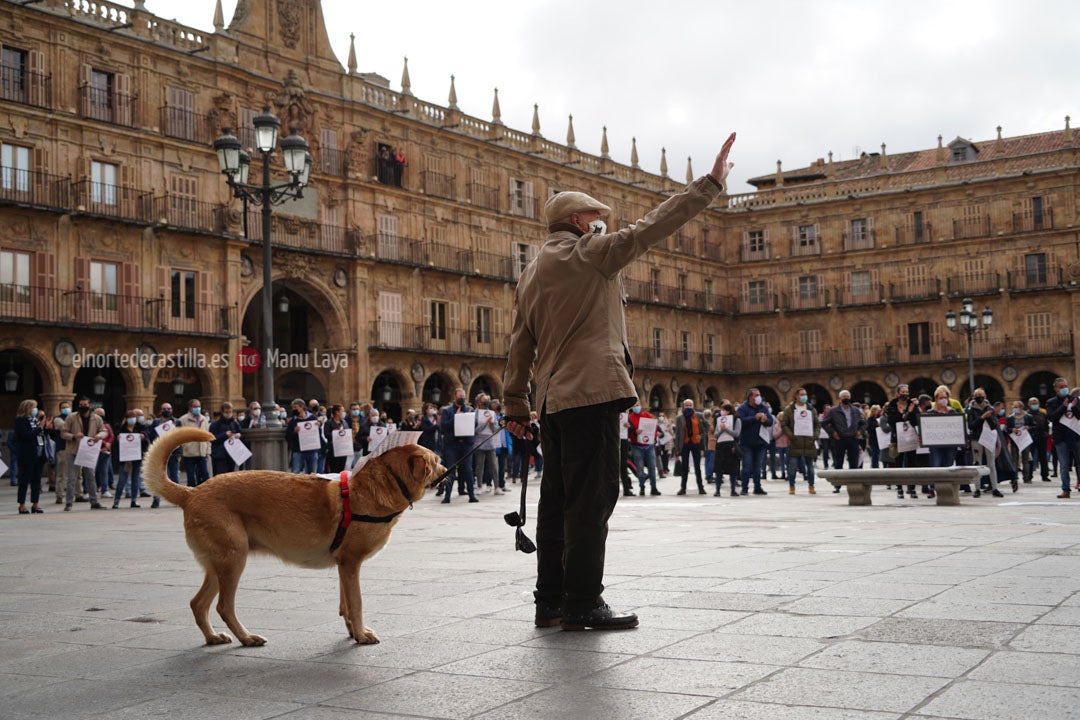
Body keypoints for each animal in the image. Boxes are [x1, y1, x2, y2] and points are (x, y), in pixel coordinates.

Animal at [143, 427, 442, 647]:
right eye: (437, 461)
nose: (446, 469)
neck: (381, 483)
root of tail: (192, 492)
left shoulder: (344, 567)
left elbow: (345, 604)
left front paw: (352, 631)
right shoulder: (351, 563)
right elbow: (356, 602)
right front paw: (361, 635)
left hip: (219, 565)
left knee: (198, 604)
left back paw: (213, 637)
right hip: (233, 561)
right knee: (223, 607)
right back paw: (247, 638)